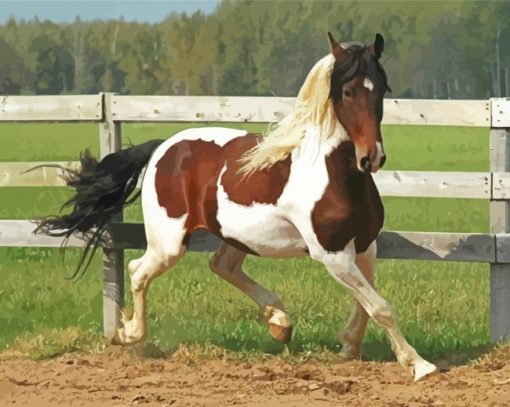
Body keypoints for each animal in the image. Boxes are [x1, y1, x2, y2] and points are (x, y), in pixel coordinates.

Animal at [36, 33, 438, 384]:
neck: (335, 175)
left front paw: (349, 344)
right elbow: (379, 306)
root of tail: (162, 148)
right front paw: (420, 365)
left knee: (221, 265)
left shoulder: (364, 245)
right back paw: (128, 334)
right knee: (138, 270)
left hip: (236, 236)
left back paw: (280, 322)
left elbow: (366, 301)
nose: (372, 158)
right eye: (348, 90)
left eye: (381, 88)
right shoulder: (332, 254)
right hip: (169, 242)